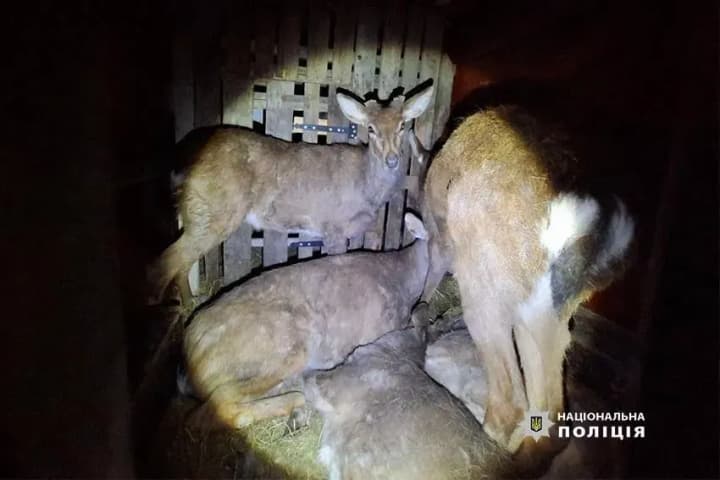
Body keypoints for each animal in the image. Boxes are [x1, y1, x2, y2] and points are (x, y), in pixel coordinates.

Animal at [146, 84, 434, 305]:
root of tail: (181, 164)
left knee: (181, 264)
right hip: (213, 211)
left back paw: (190, 305)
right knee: (165, 262)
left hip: (197, 214)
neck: (367, 189)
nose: (392, 160)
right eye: (371, 128)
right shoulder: (334, 226)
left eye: (403, 125)